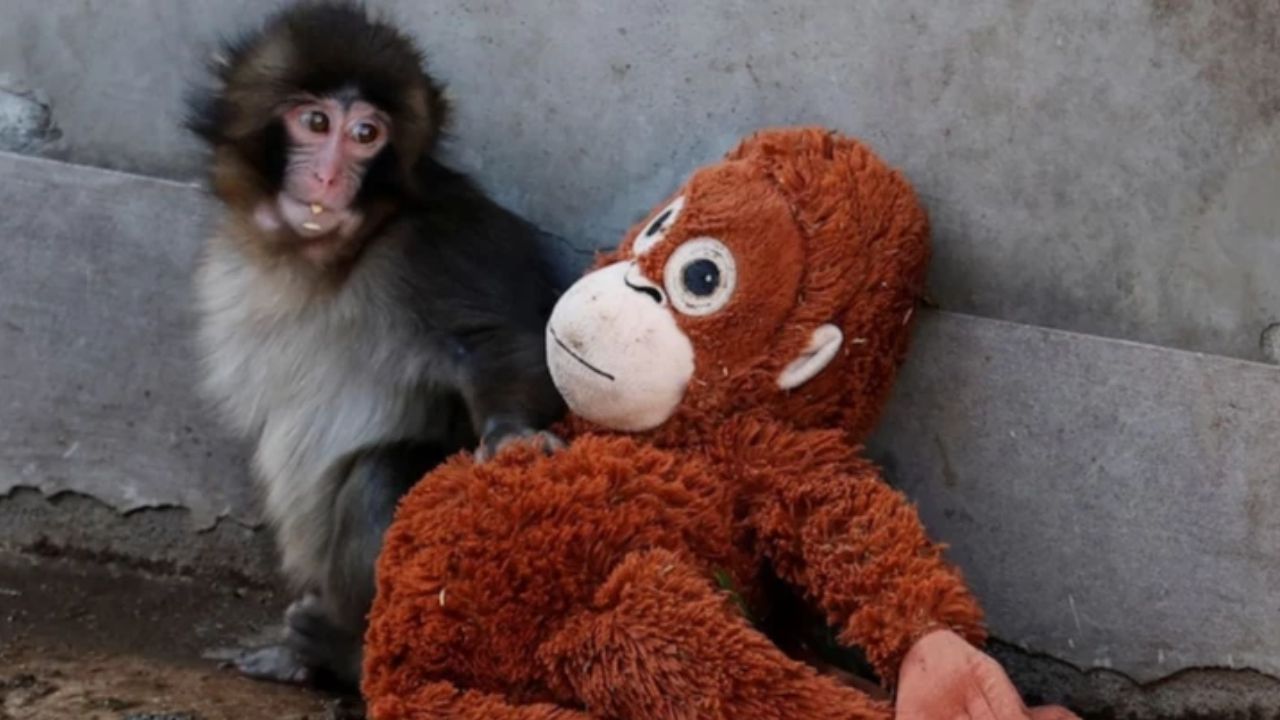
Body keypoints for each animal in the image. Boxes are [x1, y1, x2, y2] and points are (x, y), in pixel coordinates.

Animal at [185, 1, 565, 689]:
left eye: (367, 134)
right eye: (315, 122)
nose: (330, 175)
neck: (327, 258)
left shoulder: (438, 244)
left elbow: (497, 343)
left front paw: (512, 435)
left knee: (379, 476)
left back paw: (344, 652)